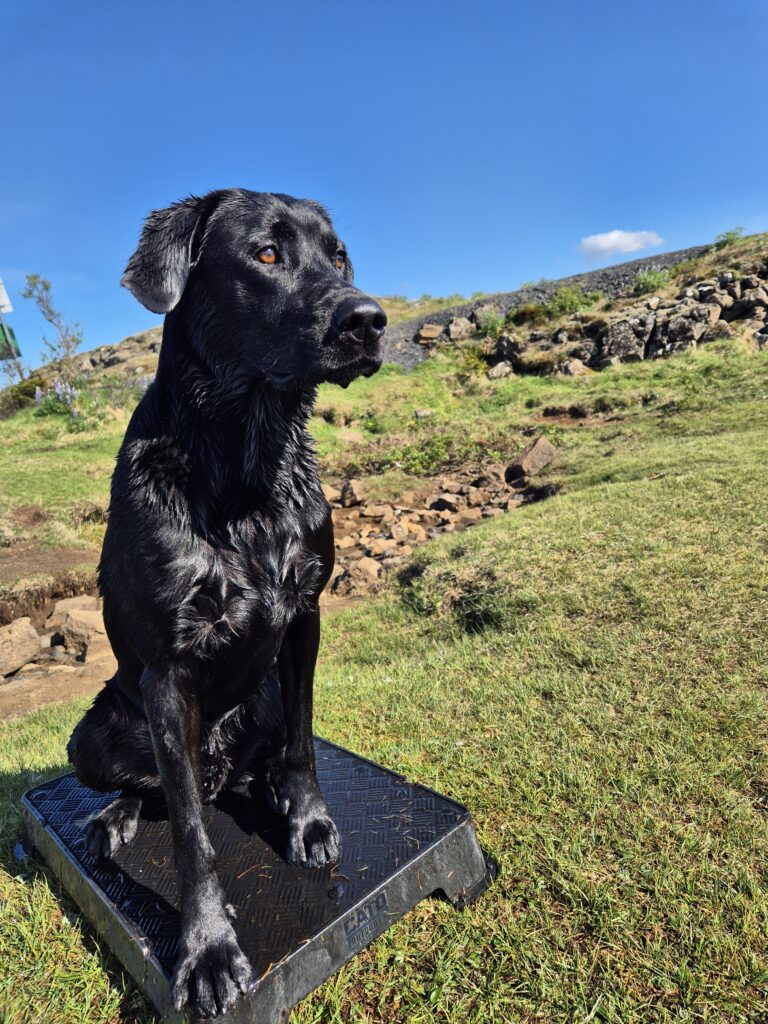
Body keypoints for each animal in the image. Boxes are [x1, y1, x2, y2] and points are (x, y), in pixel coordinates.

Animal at [66, 189, 386, 1017]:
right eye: (266, 254)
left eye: (339, 256)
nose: (369, 320)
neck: (248, 459)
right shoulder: (166, 672)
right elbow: (189, 836)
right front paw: (207, 950)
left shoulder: (304, 617)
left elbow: (304, 743)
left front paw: (307, 822)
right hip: (98, 729)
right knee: (157, 790)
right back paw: (112, 818)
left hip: (259, 699)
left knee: (262, 756)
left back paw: (263, 788)